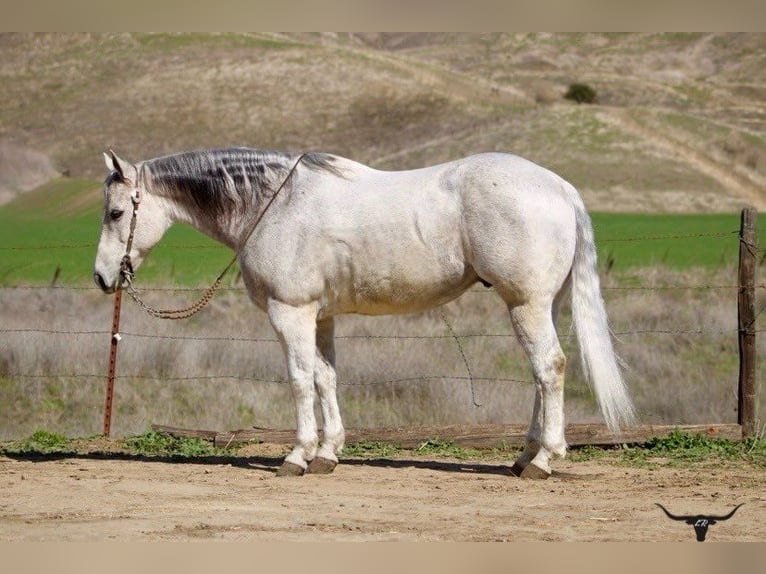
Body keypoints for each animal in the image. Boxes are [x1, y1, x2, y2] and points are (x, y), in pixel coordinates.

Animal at [93, 147, 635, 479]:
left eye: (116, 213)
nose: (102, 277)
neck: (274, 205)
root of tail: (560, 188)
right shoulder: (321, 317)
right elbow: (326, 379)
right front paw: (328, 453)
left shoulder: (290, 314)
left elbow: (298, 381)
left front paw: (297, 455)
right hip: (543, 305)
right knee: (542, 375)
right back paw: (525, 456)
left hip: (526, 305)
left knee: (551, 368)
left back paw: (544, 460)